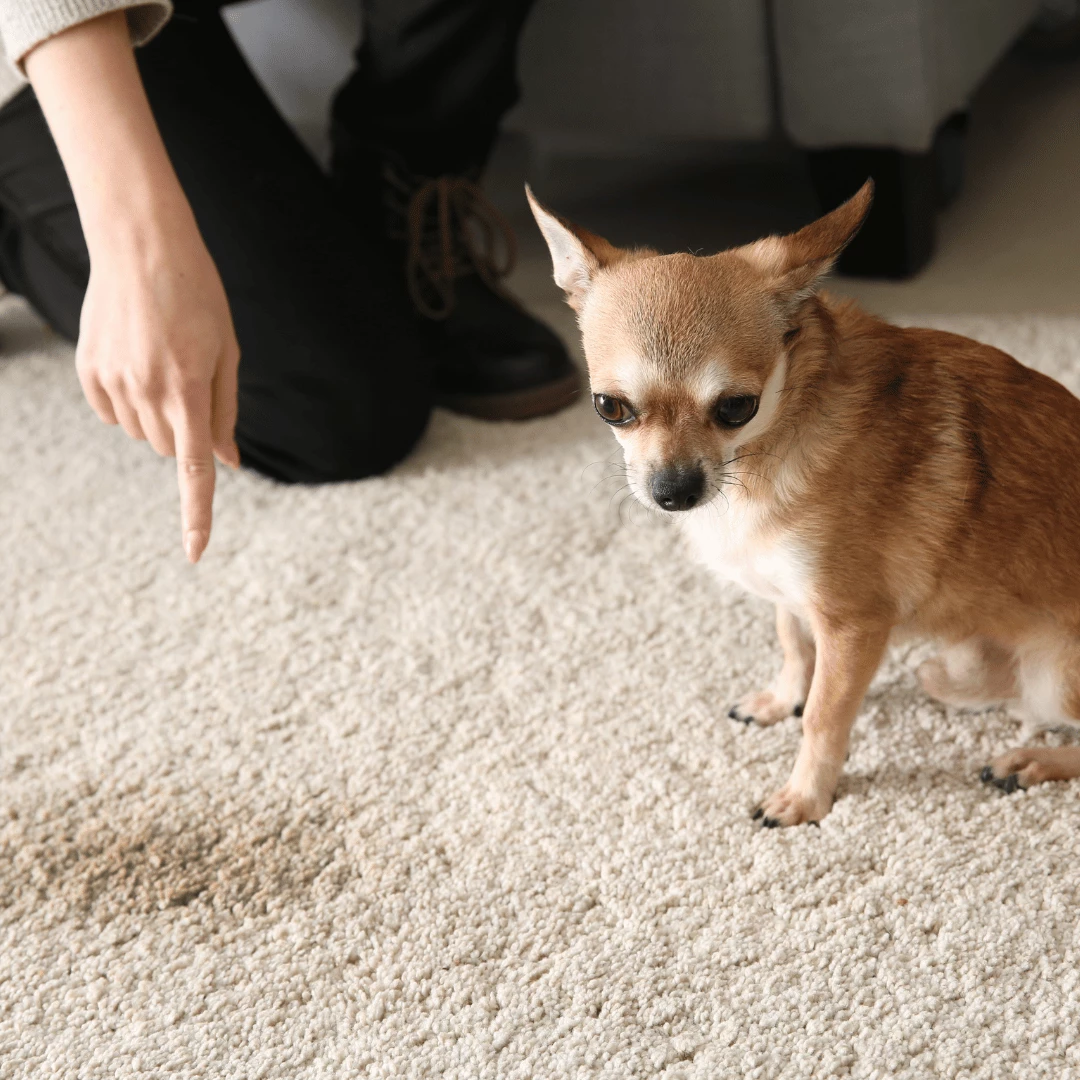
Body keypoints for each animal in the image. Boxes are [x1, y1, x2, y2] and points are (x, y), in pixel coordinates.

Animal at [527, 183, 1080, 825]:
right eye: (610, 407)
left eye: (736, 408)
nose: (674, 491)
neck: (764, 450)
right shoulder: (792, 593)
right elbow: (793, 644)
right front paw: (781, 699)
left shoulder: (852, 624)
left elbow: (824, 716)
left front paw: (806, 797)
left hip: (1053, 676)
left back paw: (1033, 760)